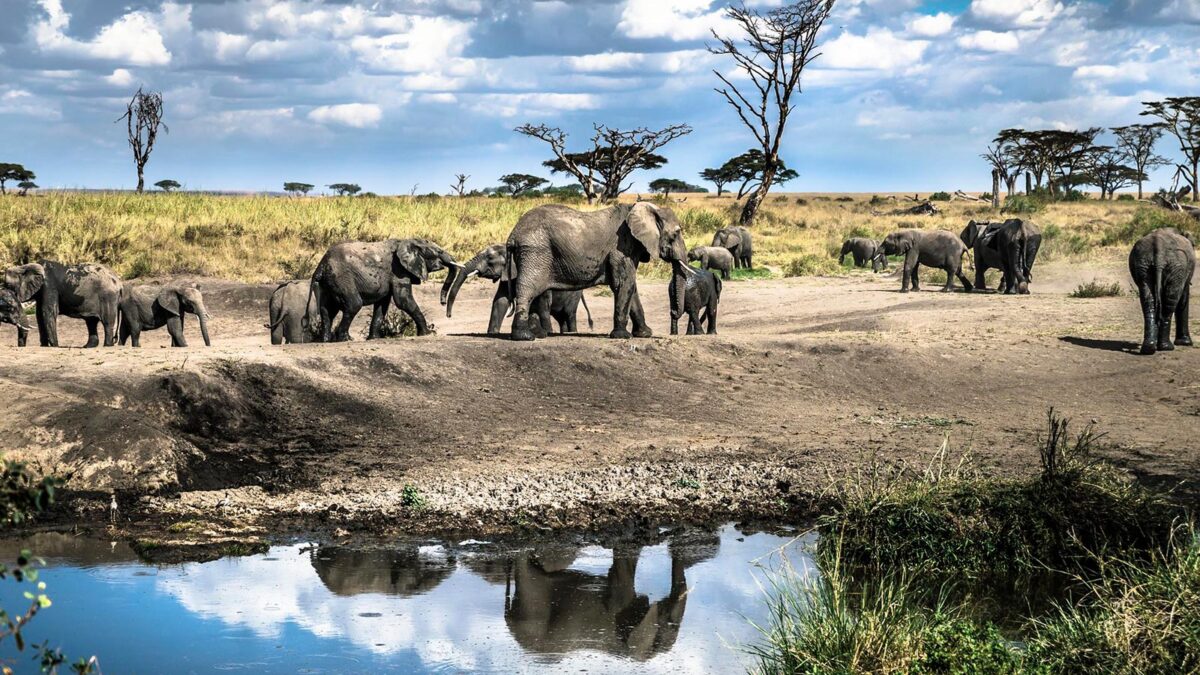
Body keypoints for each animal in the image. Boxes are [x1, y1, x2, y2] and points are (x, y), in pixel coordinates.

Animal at [307, 237, 460, 341]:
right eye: (439, 251)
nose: (442, 303)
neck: (408, 241)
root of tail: (320, 266)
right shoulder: (398, 270)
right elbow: (403, 300)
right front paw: (427, 333)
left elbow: (382, 304)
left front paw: (374, 338)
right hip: (341, 278)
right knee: (353, 304)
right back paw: (346, 339)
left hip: (328, 283)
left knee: (327, 310)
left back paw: (325, 340)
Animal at [444, 242, 592, 333]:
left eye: (490, 258)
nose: (449, 315)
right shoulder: (507, 274)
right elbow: (500, 301)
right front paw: (492, 333)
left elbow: (543, 305)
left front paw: (548, 332)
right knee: (561, 318)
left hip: (574, 294)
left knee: (569, 314)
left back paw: (572, 332)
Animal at [501, 199, 691, 338]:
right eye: (676, 234)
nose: (673, 312)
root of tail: (513, 235)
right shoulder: (622, 247)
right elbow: (623, 284)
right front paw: (622, 336)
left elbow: (631, 287)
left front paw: (645, 334)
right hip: (535, 251)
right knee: (528, 288)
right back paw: (524, 336)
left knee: (537, 292)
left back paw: (539, 334)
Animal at [1128, 225, 1195, 355]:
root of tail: (1159, 249)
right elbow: (1184, 296)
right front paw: (1186, 343)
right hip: (1176, 265)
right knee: (1170, 302)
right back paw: (1166, 347)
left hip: (1143, 264)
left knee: (1148, 300)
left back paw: (1149, 348)